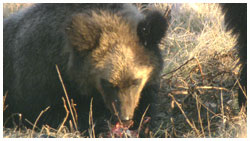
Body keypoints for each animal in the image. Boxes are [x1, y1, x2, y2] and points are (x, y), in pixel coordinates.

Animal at [3, 3, 170, 135]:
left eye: (135, 81)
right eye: (107, 83)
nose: (124, 118)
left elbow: (147, 105)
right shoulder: (44, 78)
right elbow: (57, 114)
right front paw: (99, 126)